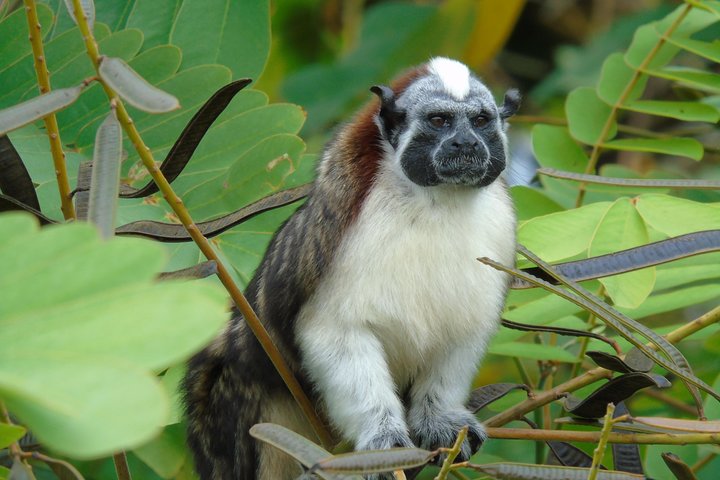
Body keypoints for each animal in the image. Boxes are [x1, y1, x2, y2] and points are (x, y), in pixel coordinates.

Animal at [182, 57, 520, 480]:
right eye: (440, 120)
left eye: (480, 120)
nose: (466, 144)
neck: (436, 200)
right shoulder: (340, 224)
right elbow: (337, 334)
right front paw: (383, 439)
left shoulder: (500, 233)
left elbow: (461, 332)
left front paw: (439, 418)